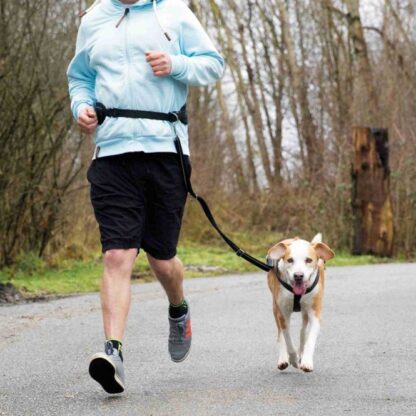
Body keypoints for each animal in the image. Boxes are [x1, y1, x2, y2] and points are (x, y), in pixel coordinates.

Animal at [266, 232, 334, 372]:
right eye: (290, 260)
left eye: (308, 260)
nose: (298, 275)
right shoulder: (283, 314)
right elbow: (287, 339)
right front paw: (293, 359)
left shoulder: (315, 313)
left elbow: (310, 338)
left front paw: (306, 361)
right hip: (275, 308)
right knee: (280, 334)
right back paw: (284, 359)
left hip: (305, 311)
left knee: (303, 331)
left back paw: (302, 352)